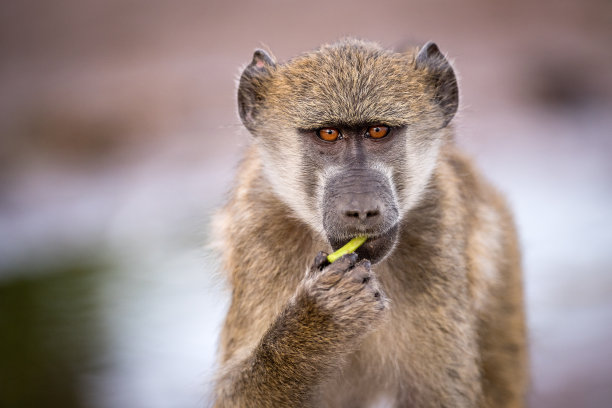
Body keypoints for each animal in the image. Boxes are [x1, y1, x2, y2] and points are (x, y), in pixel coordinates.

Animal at [212, 39, 524, 408]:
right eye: (328, 133)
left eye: (377, 131)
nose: (361, 209)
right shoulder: (260, 229)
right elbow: (234, 394)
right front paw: (323, 316)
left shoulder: (436, 227)